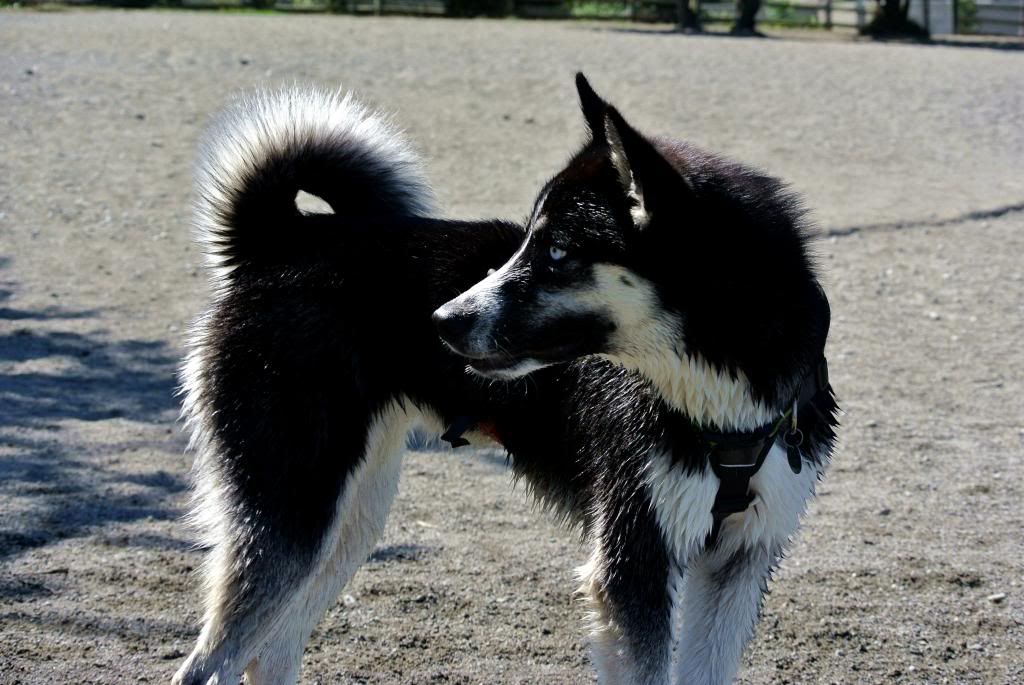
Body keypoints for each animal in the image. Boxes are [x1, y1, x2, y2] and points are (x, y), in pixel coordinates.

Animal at [432, 74, 839, 683]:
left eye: (557, 251)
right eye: (528, 241)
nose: (441, 320)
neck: (721, 408)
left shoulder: (742, 556)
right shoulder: (636, 556)